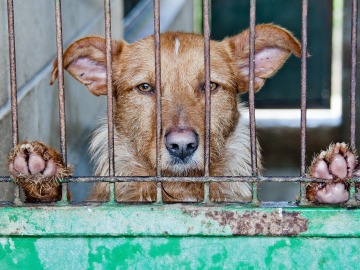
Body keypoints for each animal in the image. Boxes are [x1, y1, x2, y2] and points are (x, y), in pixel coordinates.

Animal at [7, 24, 356, 204]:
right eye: (145, 87)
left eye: (210, 86)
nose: (182, 146)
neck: (179, 189)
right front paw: (42, 173)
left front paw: (325, 182)